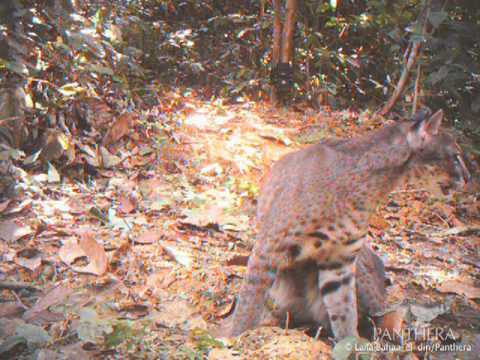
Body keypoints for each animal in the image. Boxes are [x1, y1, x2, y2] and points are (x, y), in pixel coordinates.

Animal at [224, 109, 468, 340]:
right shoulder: (270, 248)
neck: (376, 186)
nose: (469, 178)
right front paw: (235, 338)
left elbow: (345, 309)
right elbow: (248, 304)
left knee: (386, 311)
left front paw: (350, 344)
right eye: (456, 156)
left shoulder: (340, 259)